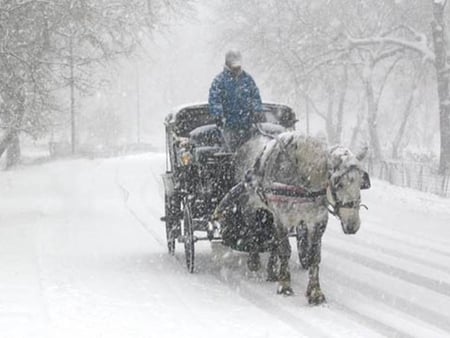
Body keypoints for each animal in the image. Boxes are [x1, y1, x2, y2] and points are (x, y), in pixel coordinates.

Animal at [213, 131, 370, 304]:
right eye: (338, 183)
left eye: (360, 183)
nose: (353, 225)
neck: (304, 183)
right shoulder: (282, 217)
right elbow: (285, 250)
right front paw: (285, 285)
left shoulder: (317, 220)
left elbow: (314, 255)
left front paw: (315, 292)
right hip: (251, 201)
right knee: (252, 226)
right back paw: (254, 260)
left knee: (273, 239)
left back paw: (272, 270)